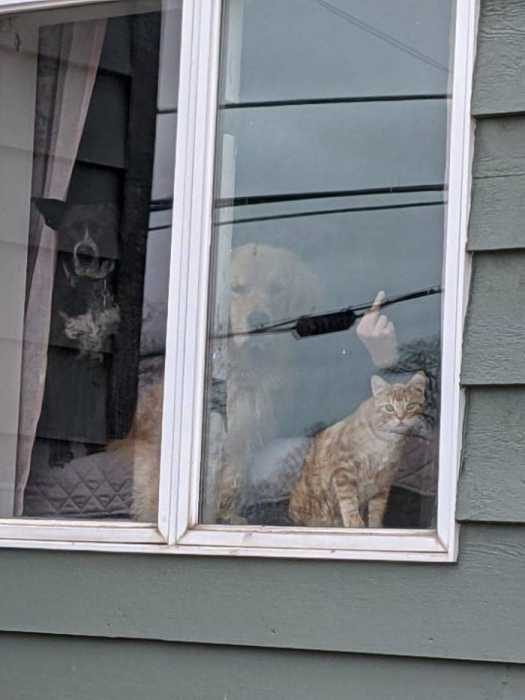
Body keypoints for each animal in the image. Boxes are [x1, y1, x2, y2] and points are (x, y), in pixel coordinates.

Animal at [288, 371, 427, 528]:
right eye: (389, 408)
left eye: (410, 406)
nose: (400, 418)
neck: (385, 442)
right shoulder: (344, 468)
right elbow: (348, 499)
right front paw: (354, 521)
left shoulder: (384, 478)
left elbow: (378, 507)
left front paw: (375, 526)